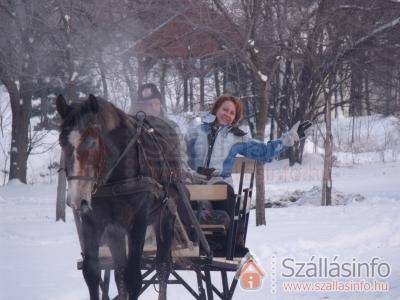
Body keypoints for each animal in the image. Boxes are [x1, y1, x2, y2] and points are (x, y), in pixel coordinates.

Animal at [55, 94, 183, 300]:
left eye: (92, 142)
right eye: (62, 142)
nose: (76, 200)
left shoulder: (138, 222)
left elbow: (134, 278)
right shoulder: (92, 222)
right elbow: (92, 272)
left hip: (166, 216)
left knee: (163, 266)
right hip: (115, 232)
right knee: (119, 272)